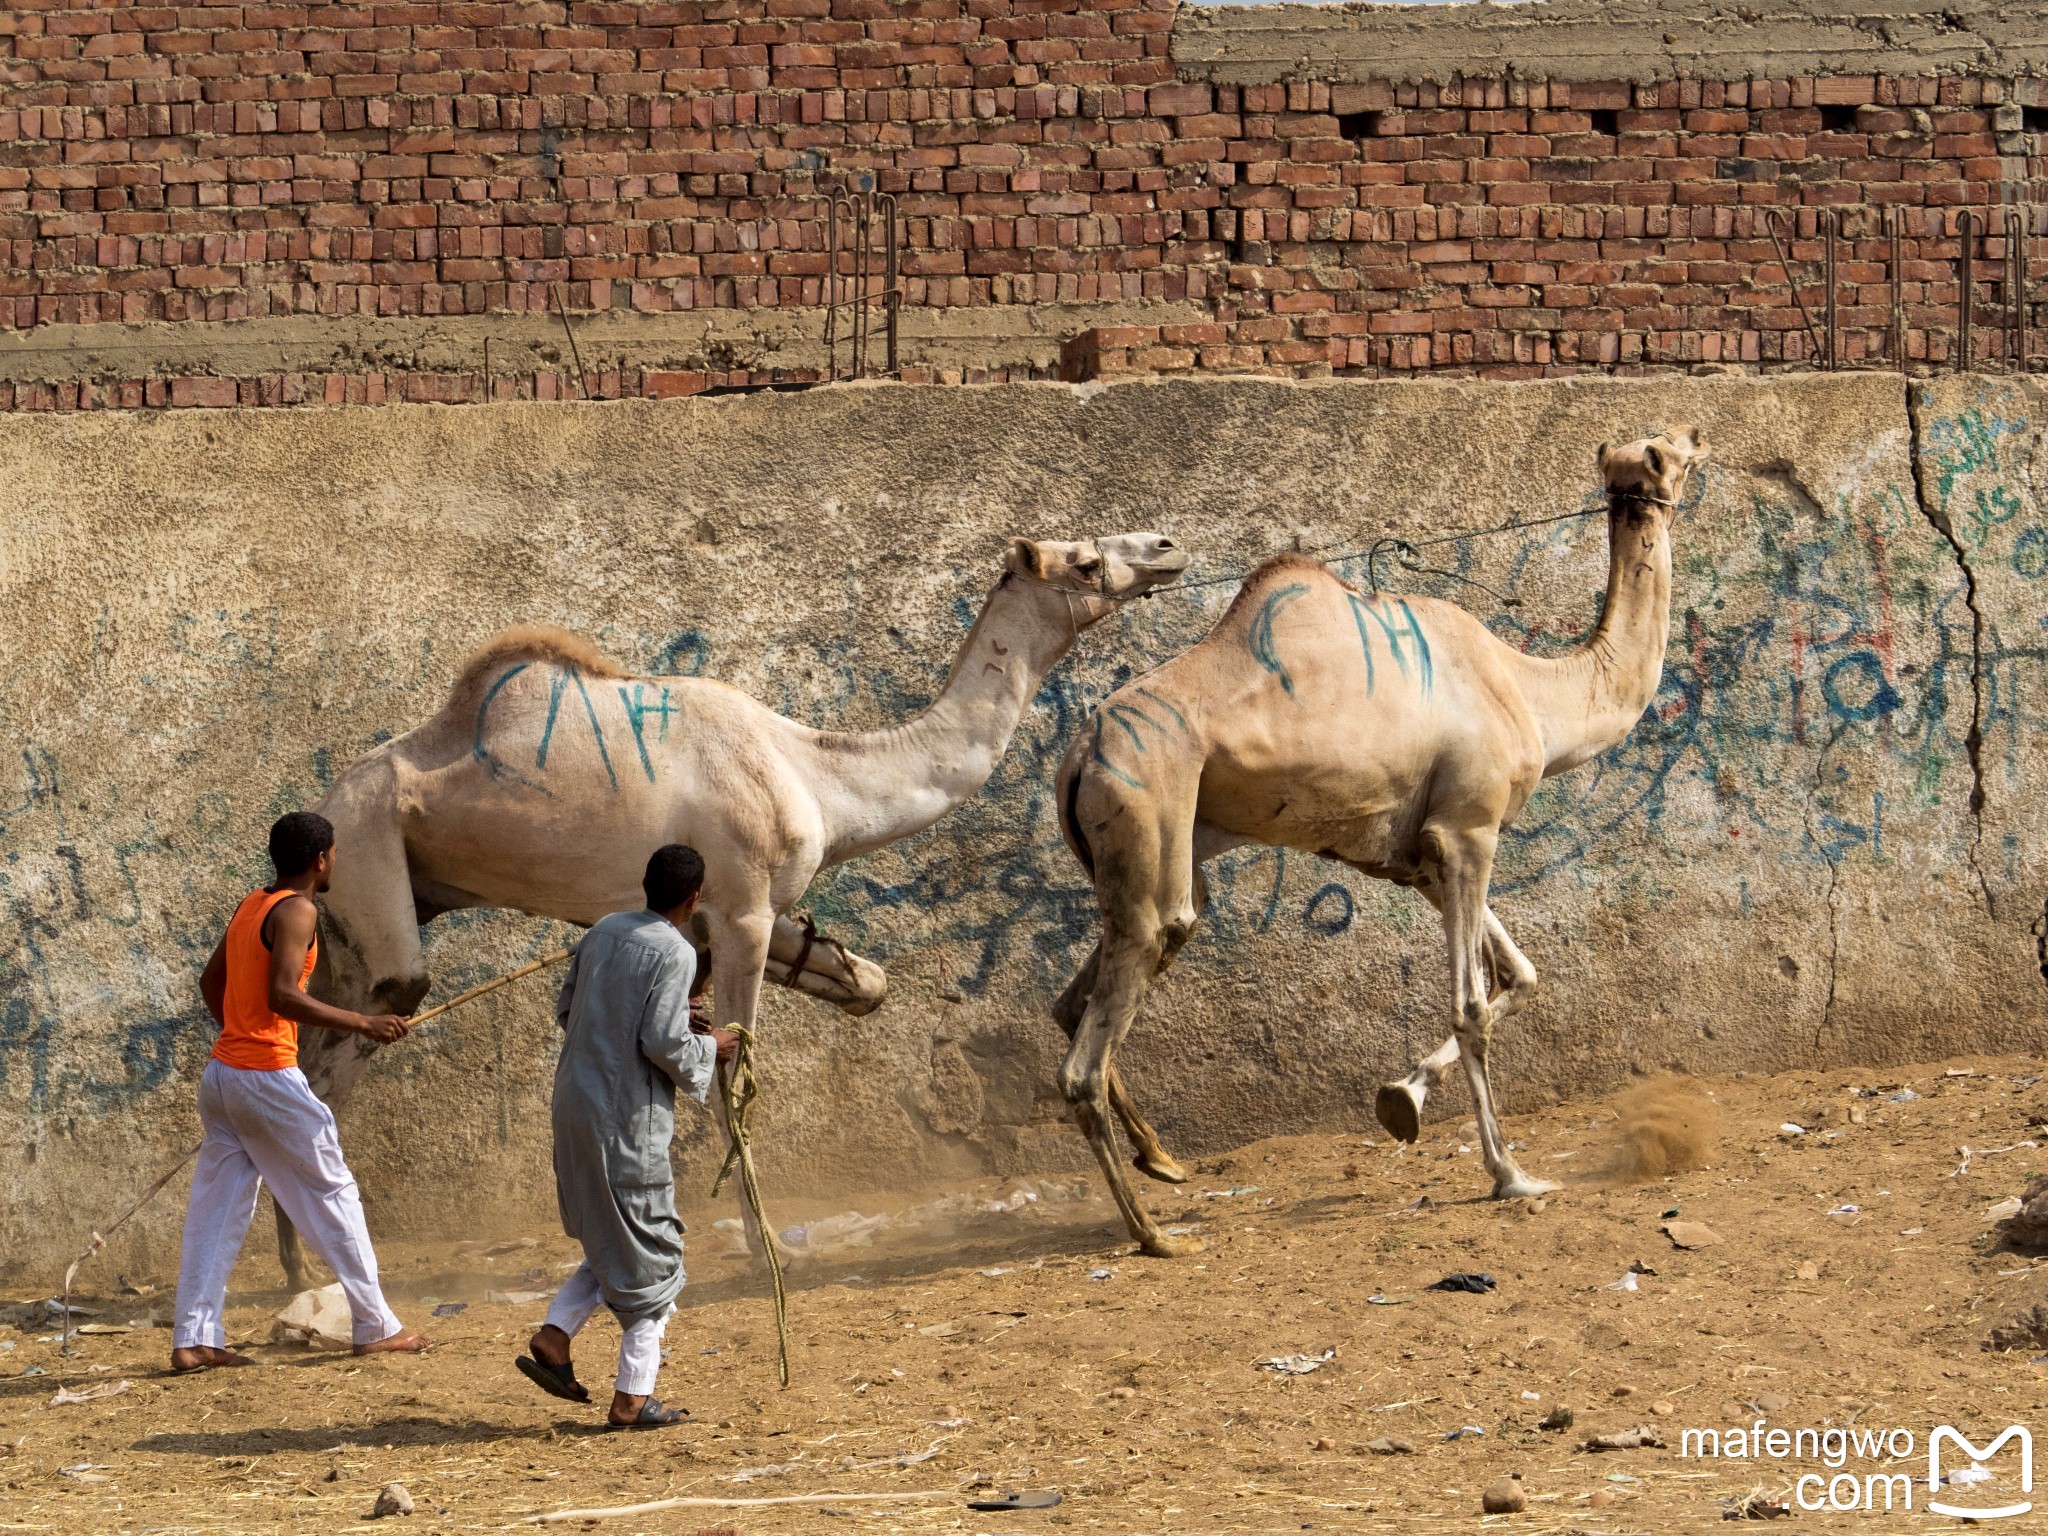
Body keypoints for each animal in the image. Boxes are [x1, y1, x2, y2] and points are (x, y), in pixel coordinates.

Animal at [280, 528, 1196, 1286]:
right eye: (1085, 561)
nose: (1164, 547)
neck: (817, 773)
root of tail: (325, 801)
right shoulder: (743, 908)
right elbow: (734, 1076)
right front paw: (762, 1249)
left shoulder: (712, 919)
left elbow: (858, 987)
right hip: (368, 856)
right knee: (363, 1028)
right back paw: (309, 1271)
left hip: (365, 916)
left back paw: (303, 1263)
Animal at [1048, 434, 1703, 1261]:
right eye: (1668, 450)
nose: (1700, 441)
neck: (1533, 693)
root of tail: (1076, 757)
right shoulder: (1470, 829)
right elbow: (1472, 1007)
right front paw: (1510, 1174)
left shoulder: (1419, 858)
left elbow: (1518, 972)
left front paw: (1403, 1099)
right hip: (1144, 810)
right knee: (1089, 1053)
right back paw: (1155, 1235)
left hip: (1158, 856)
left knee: (1078, 997)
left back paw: (1162, 1162)